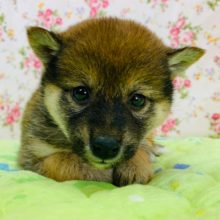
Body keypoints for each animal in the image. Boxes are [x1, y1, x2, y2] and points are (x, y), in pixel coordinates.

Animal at [17, 17, 205, 186]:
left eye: (138, 100)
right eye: (80, 93)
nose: (106, 147)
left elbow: (139, 148)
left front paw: (137, 165)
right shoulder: (32, 157)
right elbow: (64, 162)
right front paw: (101, 173)